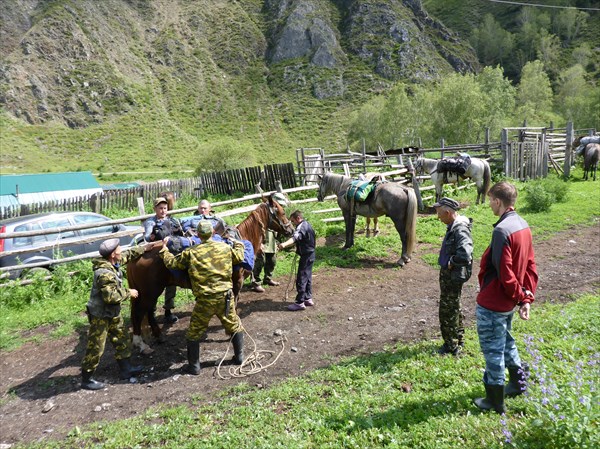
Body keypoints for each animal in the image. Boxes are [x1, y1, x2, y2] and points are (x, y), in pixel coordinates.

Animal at [127, 195, 294, 354]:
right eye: (281, 212)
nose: (291, 230)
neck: (242, 240)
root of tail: (138, 253)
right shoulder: (237, 282)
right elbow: (234, 305)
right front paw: (231, 331)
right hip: (150, 292)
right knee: (139, 313)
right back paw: (141, 344)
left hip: (150, 292)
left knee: (148, 312)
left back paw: (158, 336)